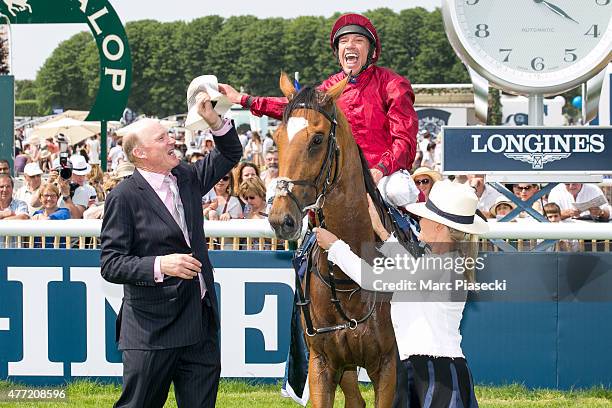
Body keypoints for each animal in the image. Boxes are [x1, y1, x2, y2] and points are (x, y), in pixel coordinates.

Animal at [270, 74, 400, 408]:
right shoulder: (322, 364)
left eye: (317, 139)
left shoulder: (387, 365)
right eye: (277, 137)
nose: (281, 219)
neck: (348, 278)